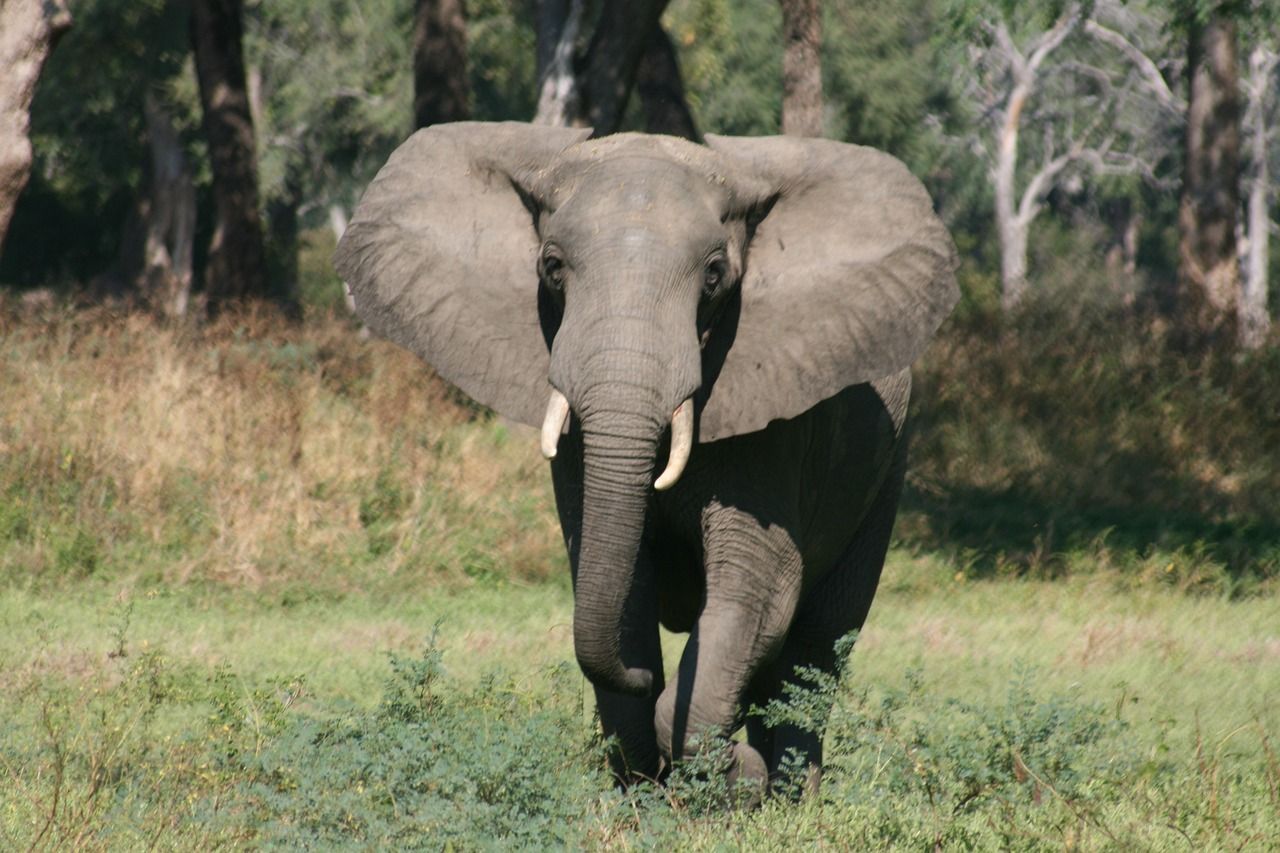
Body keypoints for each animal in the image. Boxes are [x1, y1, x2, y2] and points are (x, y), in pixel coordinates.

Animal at [334, 121, 958, 796]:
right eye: (551, 267)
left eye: (714, 275)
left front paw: (729, 771)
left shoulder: (779, 431)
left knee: (818, 640)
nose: (643, 680)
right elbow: (620, 583)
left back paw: (793, 791)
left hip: (888, 467)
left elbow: (759, 591)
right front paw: (651, 781)